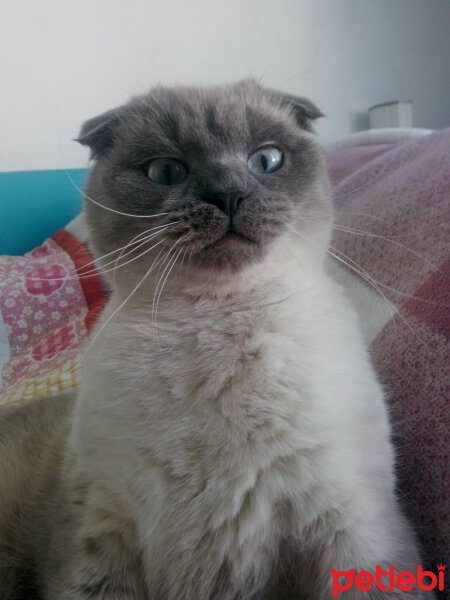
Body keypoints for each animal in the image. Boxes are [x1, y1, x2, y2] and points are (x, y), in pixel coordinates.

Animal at [0, 81, 428, 600]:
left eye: (266, 160)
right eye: (166, 171)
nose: (228, 195)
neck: (218, 324)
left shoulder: (356, 531)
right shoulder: (100, 534)